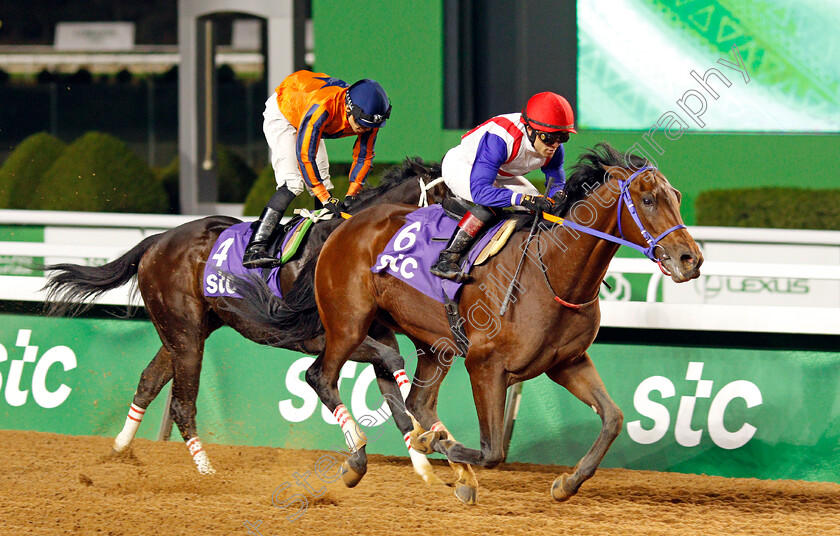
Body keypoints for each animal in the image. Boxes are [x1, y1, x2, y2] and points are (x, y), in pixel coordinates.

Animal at [42, 157, 450, 484]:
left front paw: (423, 460)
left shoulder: (371, 334)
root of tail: (157, 240)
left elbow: (394, 389)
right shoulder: (316, 337)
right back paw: (207, 471)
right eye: (450, 199)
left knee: (148, 382)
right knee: (181, 404)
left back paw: (119, 452)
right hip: (185, 334)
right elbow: (384, 364)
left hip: (185, 331)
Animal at [226, 142, 704, 502]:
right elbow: (493, 451)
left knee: (416, 399)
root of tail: (345, 227)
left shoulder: (567, 362)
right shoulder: (485, 365)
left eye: (677, 196)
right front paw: (436, 445)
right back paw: (361, 459)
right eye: (648, 199)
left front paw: (567, 483)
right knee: (320, 376)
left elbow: (613, 419)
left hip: (428, 343)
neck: (551, 270)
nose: (691, 259)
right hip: (348, 324)